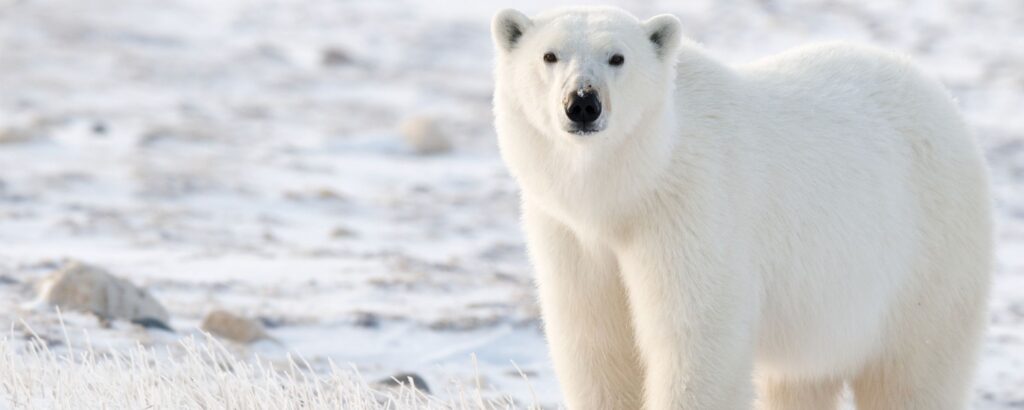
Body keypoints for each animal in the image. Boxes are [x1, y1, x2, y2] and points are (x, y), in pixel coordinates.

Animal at [490, 6, 992, 410]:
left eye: (617, 57)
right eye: (549, 56)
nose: (582, 103)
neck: (630, 188)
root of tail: (944, 100)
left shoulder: (694, 209)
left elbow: (695, 339)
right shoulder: (571, 233)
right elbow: (597, 343)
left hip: (925, 263)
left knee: (914, 374)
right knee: (799, 382)